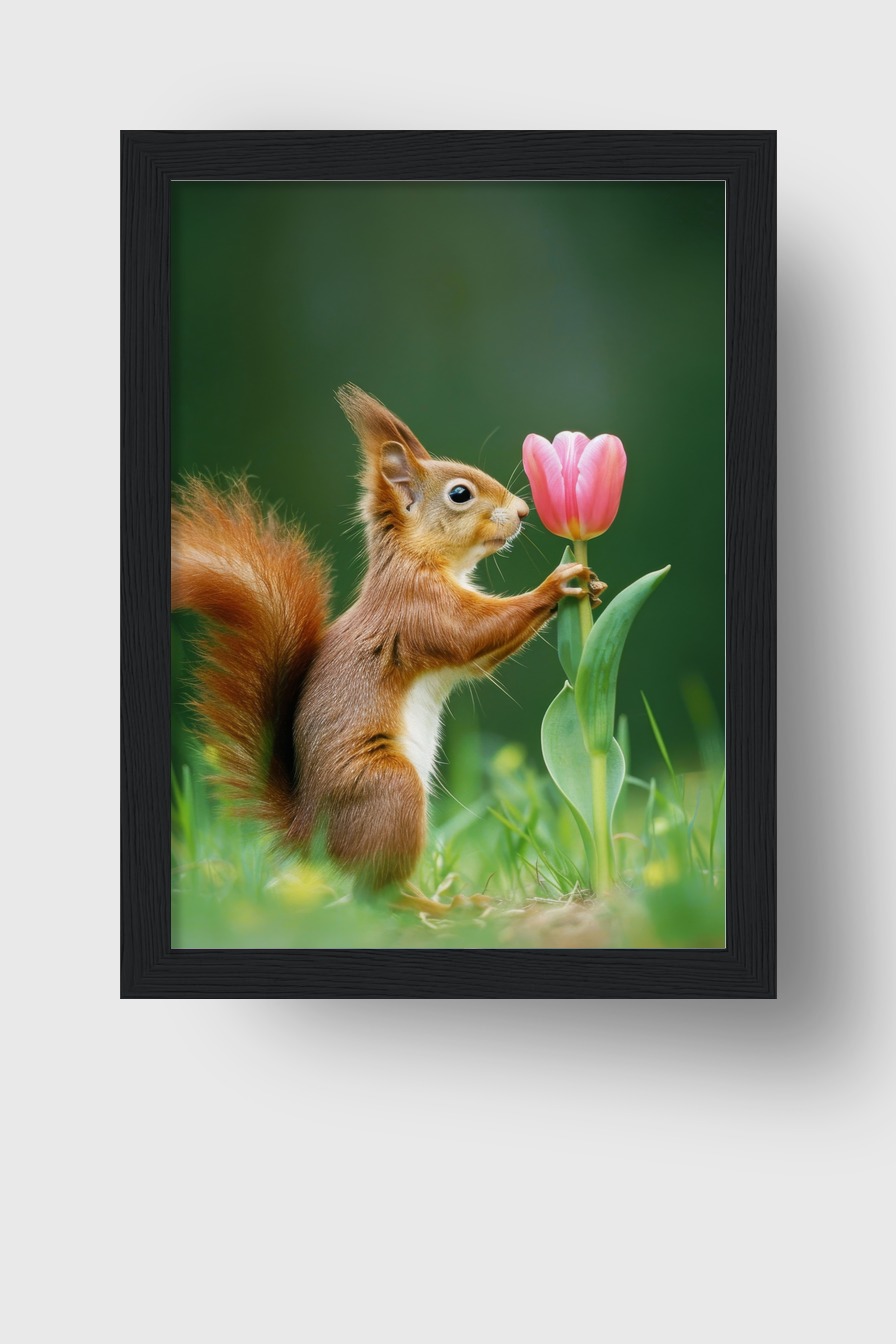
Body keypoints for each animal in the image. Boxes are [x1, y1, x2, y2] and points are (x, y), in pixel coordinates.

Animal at [172, 385, 597, 890]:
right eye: (460, 494)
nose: (523, 511)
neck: (418, 560)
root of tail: (312, 838)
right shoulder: (418, 610)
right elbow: (471, 632)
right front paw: (557, 584)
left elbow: (479, 656)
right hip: (390, 786)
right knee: (374, 890)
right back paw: (439, 902)